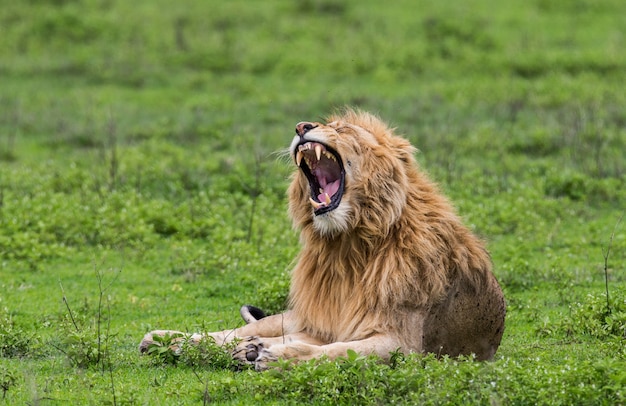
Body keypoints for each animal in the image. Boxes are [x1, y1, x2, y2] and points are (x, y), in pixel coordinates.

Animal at [139, 108, 504, 372]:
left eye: (342, 130)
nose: (302, 126)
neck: (347, 245)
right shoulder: (321, 321)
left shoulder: (404, 343)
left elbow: (339, 351)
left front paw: (278, 358)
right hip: (295, 316)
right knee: (237, 332)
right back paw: (167, 340)